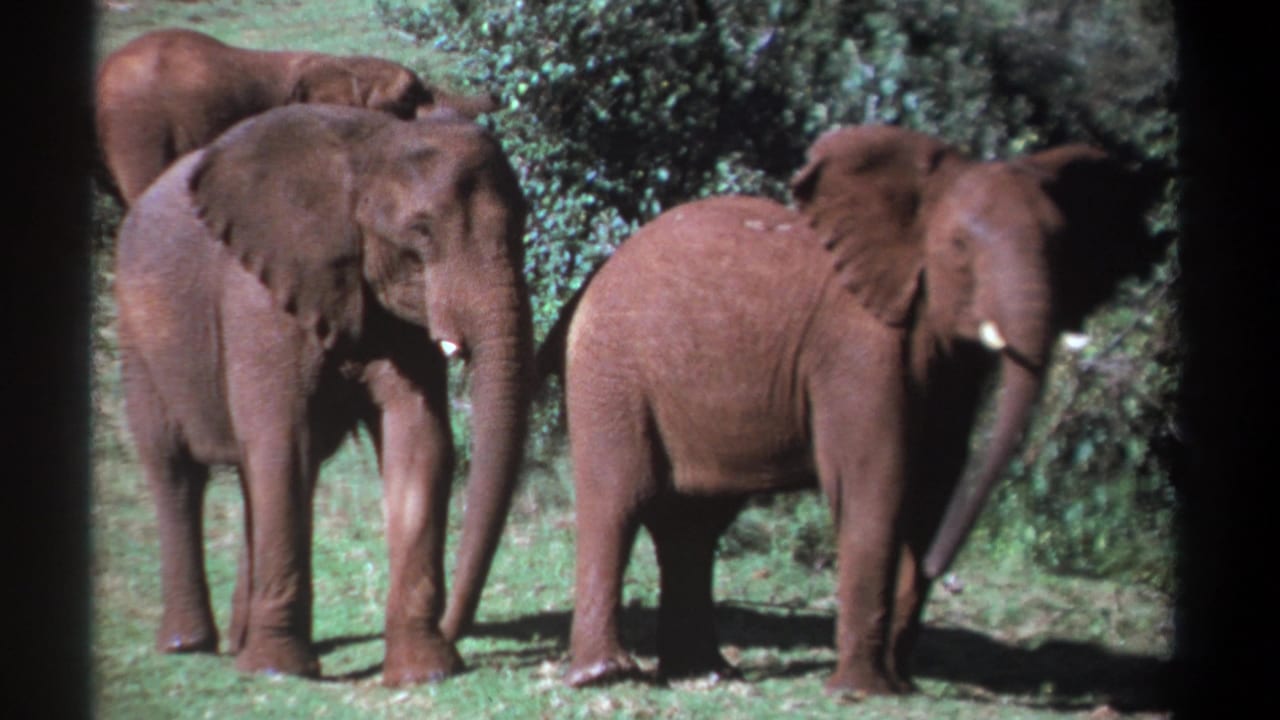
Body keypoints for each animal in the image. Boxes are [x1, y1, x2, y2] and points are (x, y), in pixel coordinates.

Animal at [113, 103, 532, 686]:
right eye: (420, 232)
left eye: (523, 220)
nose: (457, 628)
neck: (371, 149)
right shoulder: (258, 296)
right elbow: (282, 443)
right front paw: (278, 671)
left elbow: (418, 440)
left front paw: (423, 672)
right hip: (138, 335)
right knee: (175, 468)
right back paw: (189, 645)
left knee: (257, 476)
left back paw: (240, 642)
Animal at [553, 124, 1162, 694]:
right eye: (959, 247)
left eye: (1062, 247)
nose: (945, 571)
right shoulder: (857, 349)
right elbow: (877, 479)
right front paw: (863, 691)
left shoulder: (947, 367)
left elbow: (933, 485)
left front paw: (899, 683)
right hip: (611, 372)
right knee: (620, 499)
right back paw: (604, 675)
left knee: (694, 525)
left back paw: (706, 672)